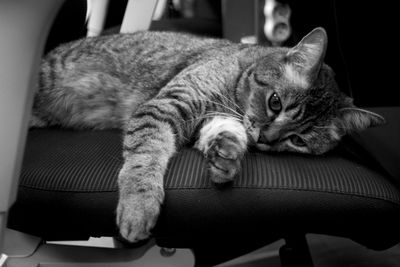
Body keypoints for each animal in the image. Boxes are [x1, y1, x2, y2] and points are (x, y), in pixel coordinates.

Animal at [31, 27, 384, 243]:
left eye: (298, 140)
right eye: (275, 103)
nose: (266, 140)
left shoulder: (210, 120)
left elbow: (226, 132)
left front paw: (227, 156)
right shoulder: (165, 106)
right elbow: (144, 161)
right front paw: (138, 206)